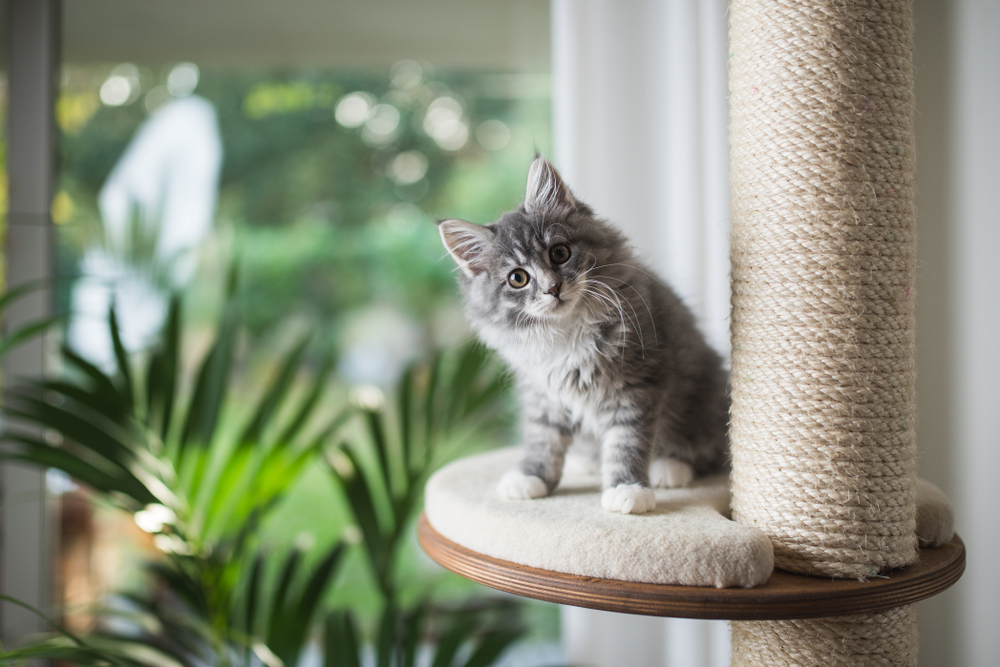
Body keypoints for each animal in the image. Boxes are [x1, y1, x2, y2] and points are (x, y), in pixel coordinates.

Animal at [438, 157, 728, 516]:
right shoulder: (542, 392)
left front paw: (627, 488)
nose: (552, 288)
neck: (565, 331)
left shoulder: (636, 385)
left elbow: (626, 441)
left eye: (560, 253)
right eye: (518, 278)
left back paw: (670, 467)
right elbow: (543, 437)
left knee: (708, 450)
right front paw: (531, 475)